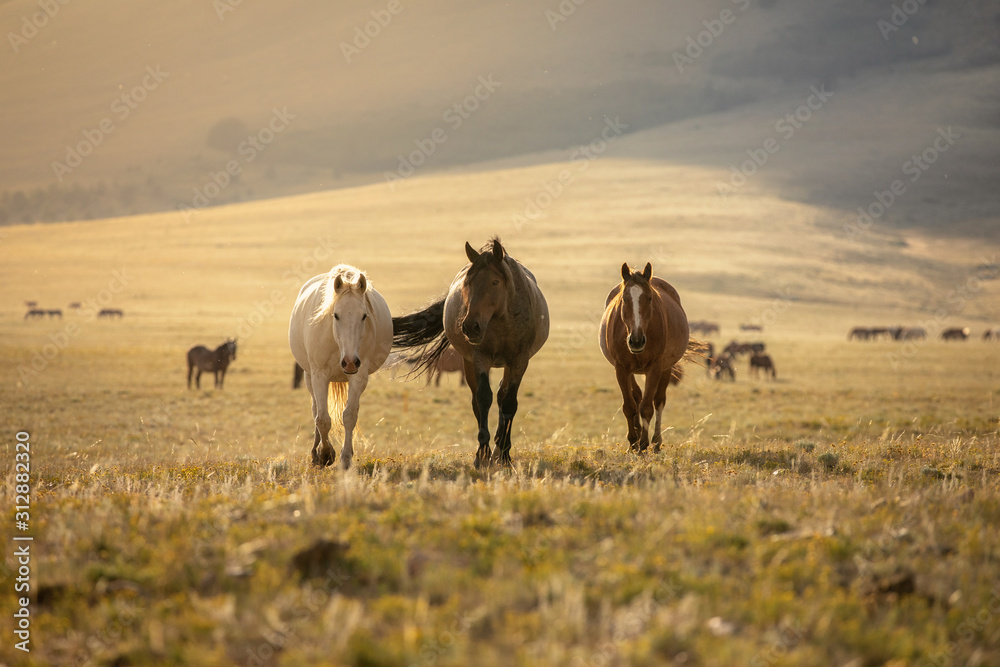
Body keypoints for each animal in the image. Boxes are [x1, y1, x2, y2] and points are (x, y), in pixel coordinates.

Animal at [289, 265, 392, 469]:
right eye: (336, 315)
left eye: (364, 316)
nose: (350, 362)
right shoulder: (319, 375)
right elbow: (322, 419)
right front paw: (325, 454)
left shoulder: (359, 377)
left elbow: (349, 416)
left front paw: (345, 458)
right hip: (309, 377)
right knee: (315, 409)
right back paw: (315, 454)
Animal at [392, 238, 549, 468]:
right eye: (467, 283)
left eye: (495, 282)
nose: (470, 327)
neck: (501, 321)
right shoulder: (479, 358)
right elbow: (483, 399)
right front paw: (482, 454)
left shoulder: (519, 361)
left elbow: (509, 402)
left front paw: (504, 455)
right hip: (468, 362)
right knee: (478, 400)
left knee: (502, 395)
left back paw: (499, 448)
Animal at [599, 262, 690, 452]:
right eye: (624, 299)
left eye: (649, 298)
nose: (636, 341)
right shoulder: (621, 369)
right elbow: (629, 406)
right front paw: (633, 442)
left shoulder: (655, 368)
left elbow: (647, 408)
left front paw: (643, 444)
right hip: (632, 371)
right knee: (637, 397)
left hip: (666, 368)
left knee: (659, 401)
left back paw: (656, 442)